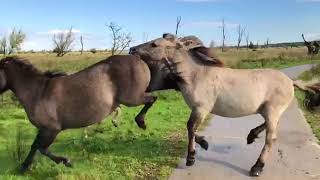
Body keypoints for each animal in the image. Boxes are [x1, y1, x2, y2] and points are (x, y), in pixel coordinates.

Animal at [0, 55, 158, 172]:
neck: (38, 92)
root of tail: (139, 59)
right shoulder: (43, 129)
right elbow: (34, 146)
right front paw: (23, 167)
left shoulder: (51, 129)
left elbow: (42, 148)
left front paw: (67, 161)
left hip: (132, 98)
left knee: (152, 99)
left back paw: (141, 122)